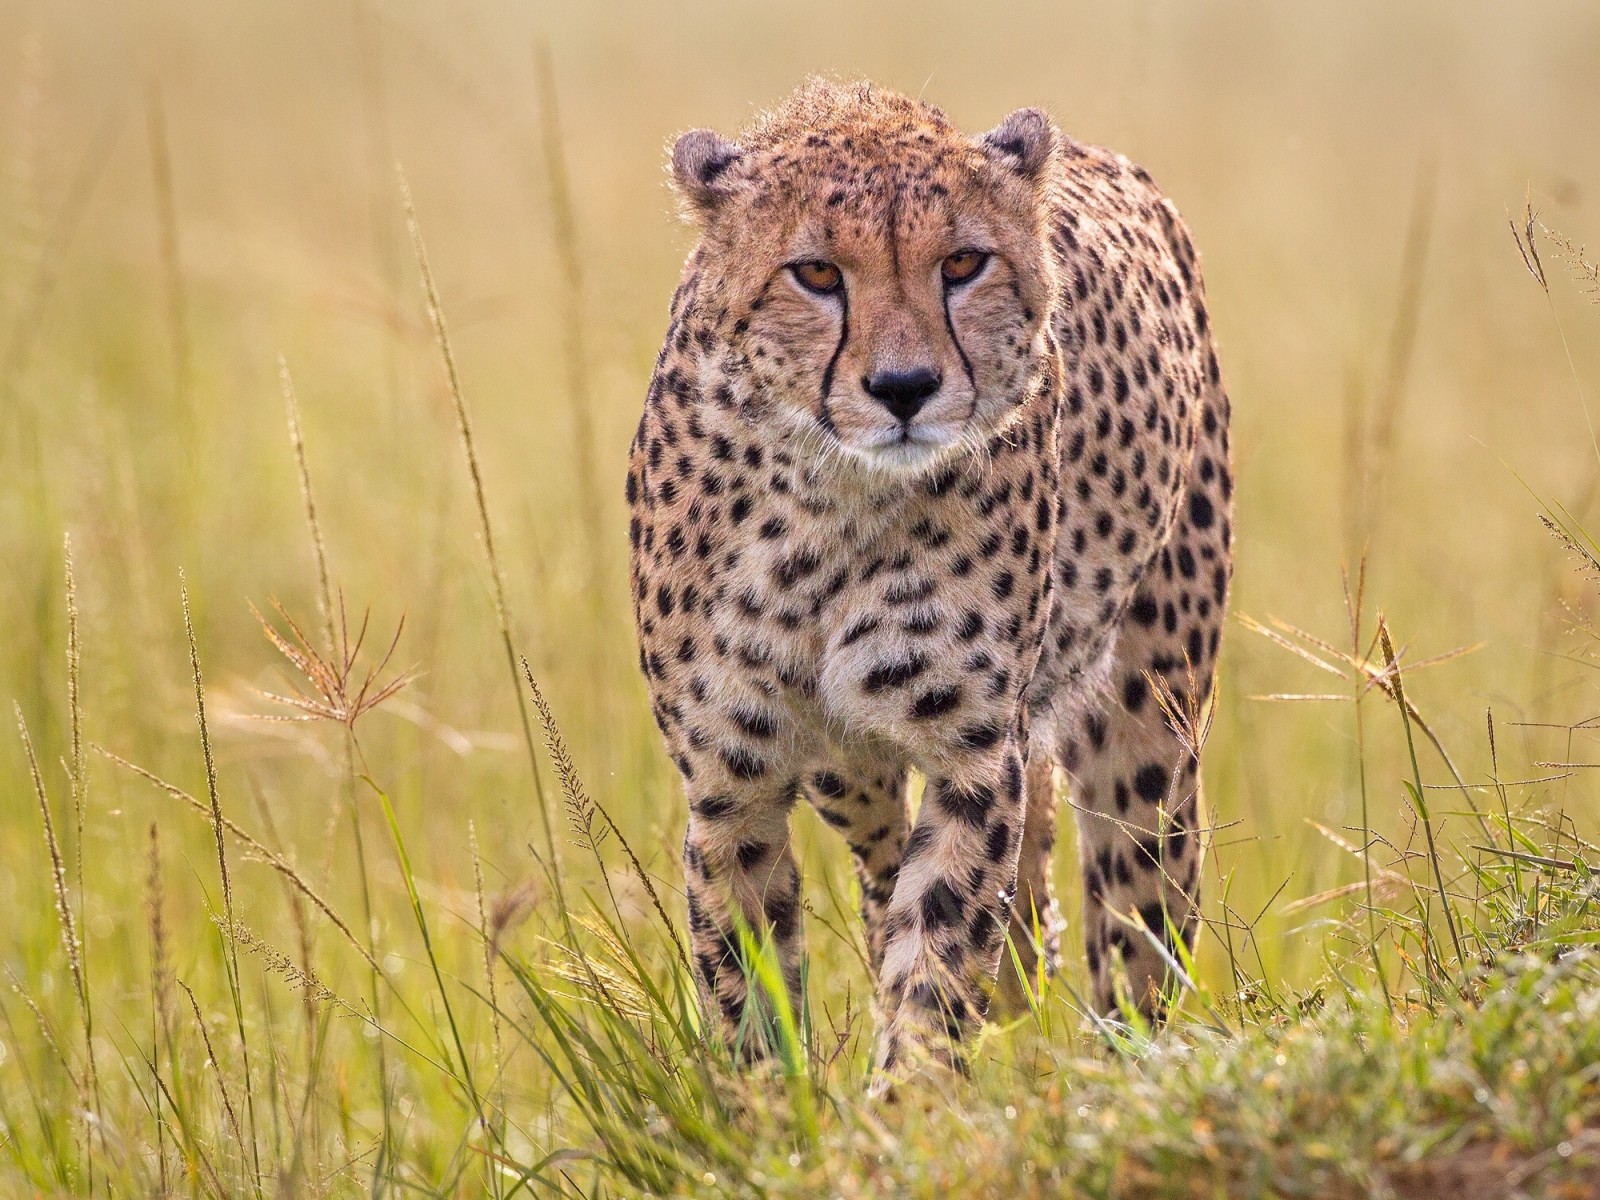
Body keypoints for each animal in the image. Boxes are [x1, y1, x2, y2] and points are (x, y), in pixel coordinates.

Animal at [627, 82, 1235, 1081]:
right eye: (816, 274)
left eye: (962, 263)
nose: (905, 386)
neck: (827, 503)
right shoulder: (730, 782)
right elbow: (750, 988)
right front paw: (776, 1110)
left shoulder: (973, 758)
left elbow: (937, 966)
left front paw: (906, 1100)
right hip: (846, 769)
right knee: (888, 857)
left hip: (1149, 715)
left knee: (1136, 910)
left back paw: (1126, 1058)